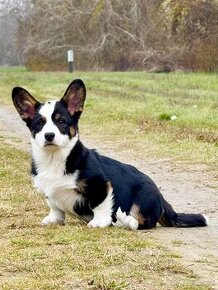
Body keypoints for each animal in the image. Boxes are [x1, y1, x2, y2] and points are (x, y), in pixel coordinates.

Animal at [11, 78, 208, 230]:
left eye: (61, 122)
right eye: (39, 123)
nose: (49, 136)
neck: (54, 159)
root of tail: (161, 198)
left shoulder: (101, 185)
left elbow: (100, 204)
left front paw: (99, 222)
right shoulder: (49, 192)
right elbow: (54, 206)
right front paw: (53, 219)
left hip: (142, 200)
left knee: (142, 223)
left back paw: (125, 221)